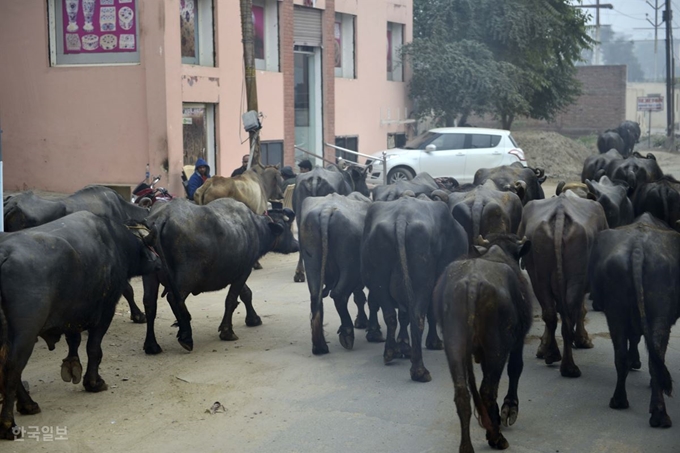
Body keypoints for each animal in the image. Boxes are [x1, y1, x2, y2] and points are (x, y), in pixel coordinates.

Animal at [0, 212, 159, 438]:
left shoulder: (72, 313)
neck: (114, 241)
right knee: (12, 369)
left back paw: (28, 405)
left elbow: (73, 338)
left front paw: (72, 365)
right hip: (25, 334)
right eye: (150, 245)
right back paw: (9, 424)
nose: (158, 262)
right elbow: (94, 349)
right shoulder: (105, 311)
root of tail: (4, 254)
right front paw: (93, 382)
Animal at [142, 198, 298, 354]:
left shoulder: (237, 272)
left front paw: (253, 319)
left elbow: (246, 293)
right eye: (287, 228)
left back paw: (152, 345)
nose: (296, 244)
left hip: (150, 276)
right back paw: (186, 337)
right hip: (187, 277)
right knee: (174, 299)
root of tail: (162, 217)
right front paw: (227, 331)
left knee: (150, 304)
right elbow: (231, 299)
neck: (256, 229)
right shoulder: (244, 271)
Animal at [362, 196, 468, 380]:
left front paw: (403, 346)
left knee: (391, 315)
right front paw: (433, 342)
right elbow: (430, 313)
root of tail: (401, 217)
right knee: (417, 317)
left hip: (378, 278)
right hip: (422, 280)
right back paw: (419, 370)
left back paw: (390, 352)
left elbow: (403, 315)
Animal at [436, 235, 536, 450]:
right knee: (487, 390)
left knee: (463, 393)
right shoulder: (518, 341)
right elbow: (515, 368)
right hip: (497, 348)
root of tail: (473, 284)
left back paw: (467, 446)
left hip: (454, 344)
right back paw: (496, 437)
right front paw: (508, 409)